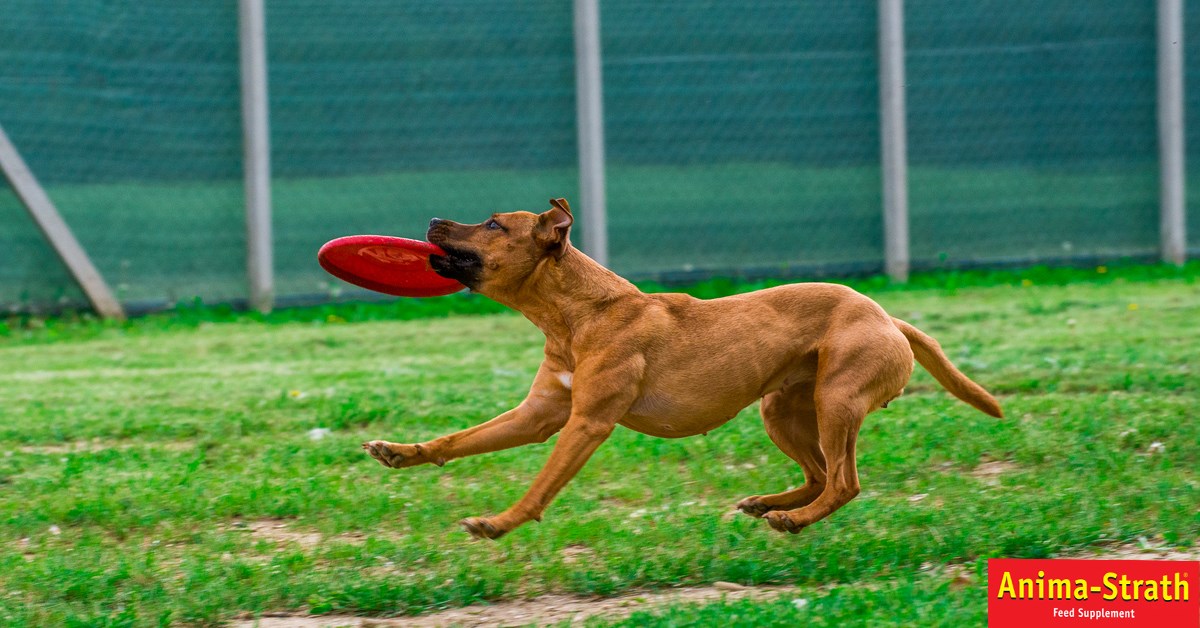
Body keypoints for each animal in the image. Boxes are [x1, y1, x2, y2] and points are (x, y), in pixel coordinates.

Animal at [360, 199, 998, 537]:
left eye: (494, 224)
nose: (433, 220)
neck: (577, 314)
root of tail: (888, 316)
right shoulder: (538, 415)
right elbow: (459, 440)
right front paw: (401, 452)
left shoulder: (586, 423)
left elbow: (542, 484)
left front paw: (500, 523)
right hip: (781, 409)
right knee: (821, 475)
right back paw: (771, 505)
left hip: (835, 401)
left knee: (844, 480)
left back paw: (793, 521)